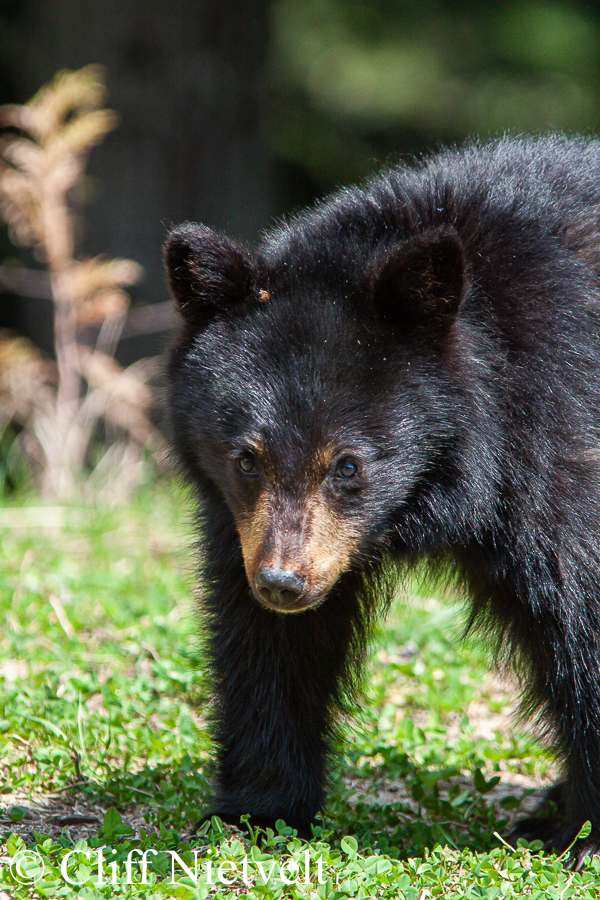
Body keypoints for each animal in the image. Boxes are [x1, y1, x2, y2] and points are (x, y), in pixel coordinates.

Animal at [163, 135, 600, 864]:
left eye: (348, 464)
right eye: (247, 458)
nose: (283, 582)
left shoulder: (566, 441)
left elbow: (584, 608)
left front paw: (584, 837)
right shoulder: (247, 525)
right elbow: (266, 644)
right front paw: (256, 811)